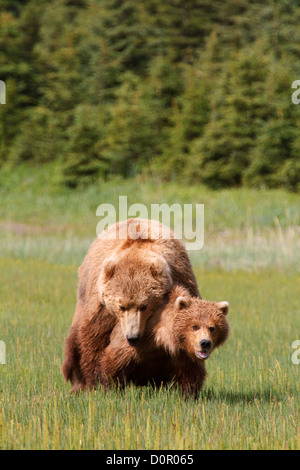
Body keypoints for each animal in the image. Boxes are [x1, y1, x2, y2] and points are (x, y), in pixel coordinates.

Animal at [62, 218, 200, 392]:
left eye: (144, 306)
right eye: (121, 306)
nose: (132, 337)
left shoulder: (180, 278)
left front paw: (188, 385)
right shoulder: (101, 307)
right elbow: (95, 337)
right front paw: (96, 382)